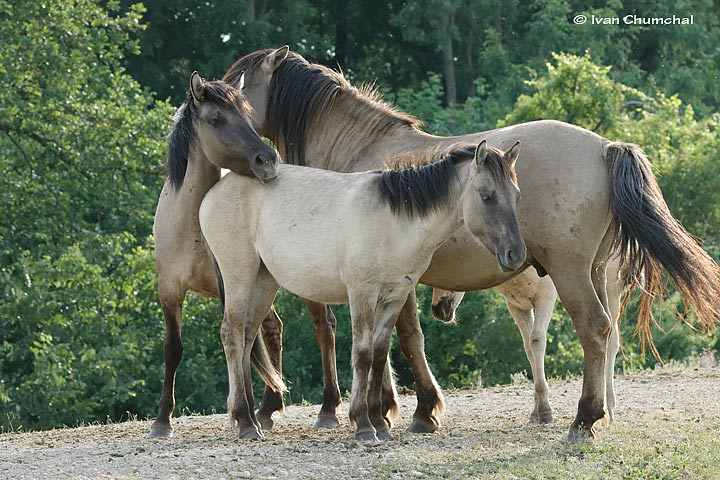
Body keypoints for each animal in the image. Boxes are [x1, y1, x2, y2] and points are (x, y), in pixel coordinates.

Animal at [148, 71, 280, 438]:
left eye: (248, 116)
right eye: (216, 119)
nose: (267, 159)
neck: (191, 224)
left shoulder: (228, 286)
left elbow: (240, 345)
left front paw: (244, 416)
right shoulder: (169, 290)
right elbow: (173, 349)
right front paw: (162, 421)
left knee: (267, 334)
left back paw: (265, 409)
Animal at [200, 141, 524, 440]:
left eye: (516, 195)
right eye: (487, 195)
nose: (516, 255)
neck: (395, 223)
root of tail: (213, 193)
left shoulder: (395, 297)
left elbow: (380, 353)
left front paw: (379, 422)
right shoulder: (362, 295)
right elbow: (363, 352)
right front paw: (364, 424)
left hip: (264, 282)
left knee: (246, 337)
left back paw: (250, 420)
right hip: (239, 277)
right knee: (232, 335)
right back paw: (245, 422)